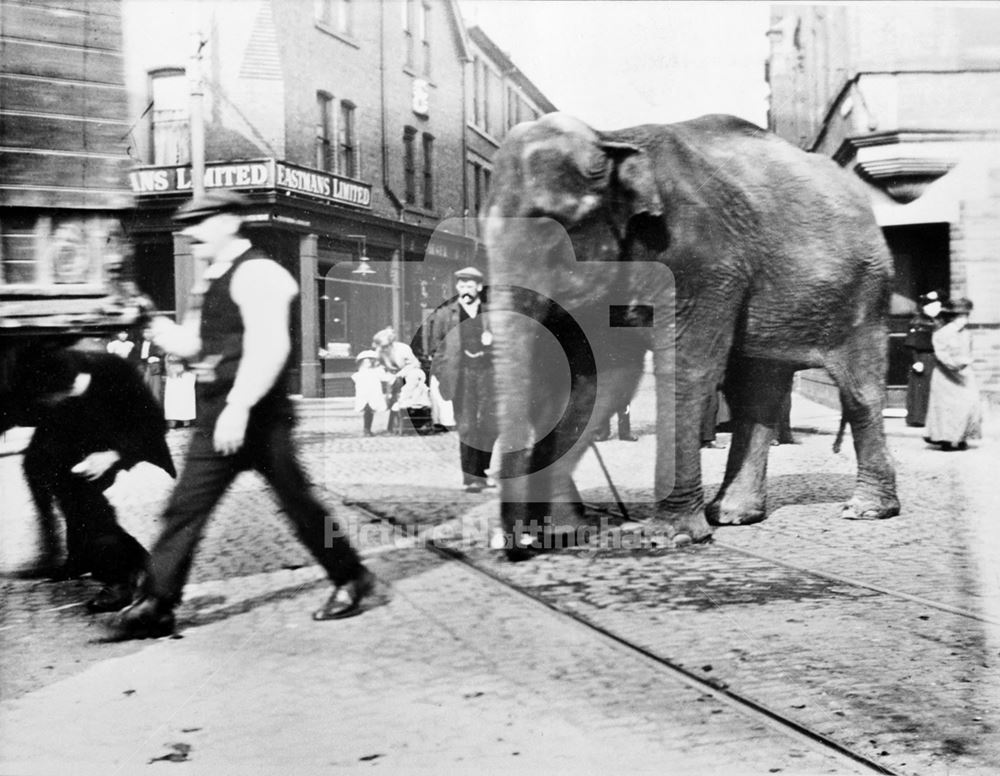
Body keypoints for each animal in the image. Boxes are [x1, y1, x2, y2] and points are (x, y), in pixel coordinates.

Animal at [480, 110, 904, 556]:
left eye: (552, 233)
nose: (518, 545)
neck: (610, 139)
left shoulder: (705, 261)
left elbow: (686, 369)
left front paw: (668, 537)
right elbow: (604, 380)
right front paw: (564, 534)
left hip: (866, 290)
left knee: (858, 390)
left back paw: (865, 510)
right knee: (758, 390)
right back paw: (733, 514)